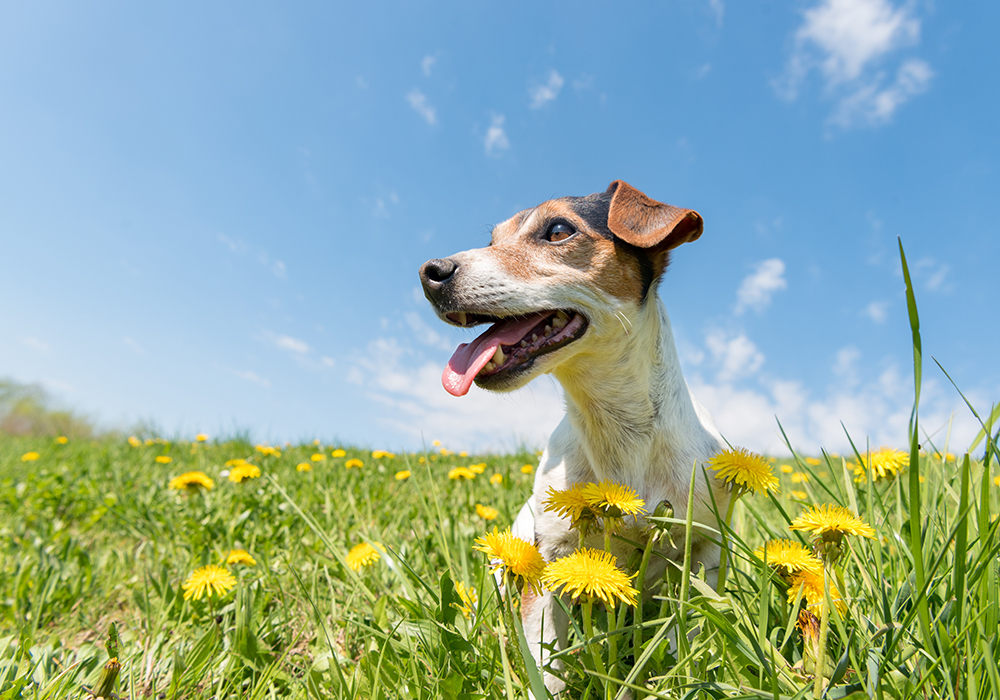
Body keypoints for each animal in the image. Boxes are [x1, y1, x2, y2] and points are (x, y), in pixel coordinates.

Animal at [416, 180, 728, 696]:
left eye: (559, 230)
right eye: (492, 239)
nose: (429, 273)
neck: (616, 427)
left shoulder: (704, 551)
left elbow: (690, 638)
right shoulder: (551, 561)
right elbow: (546, 666)